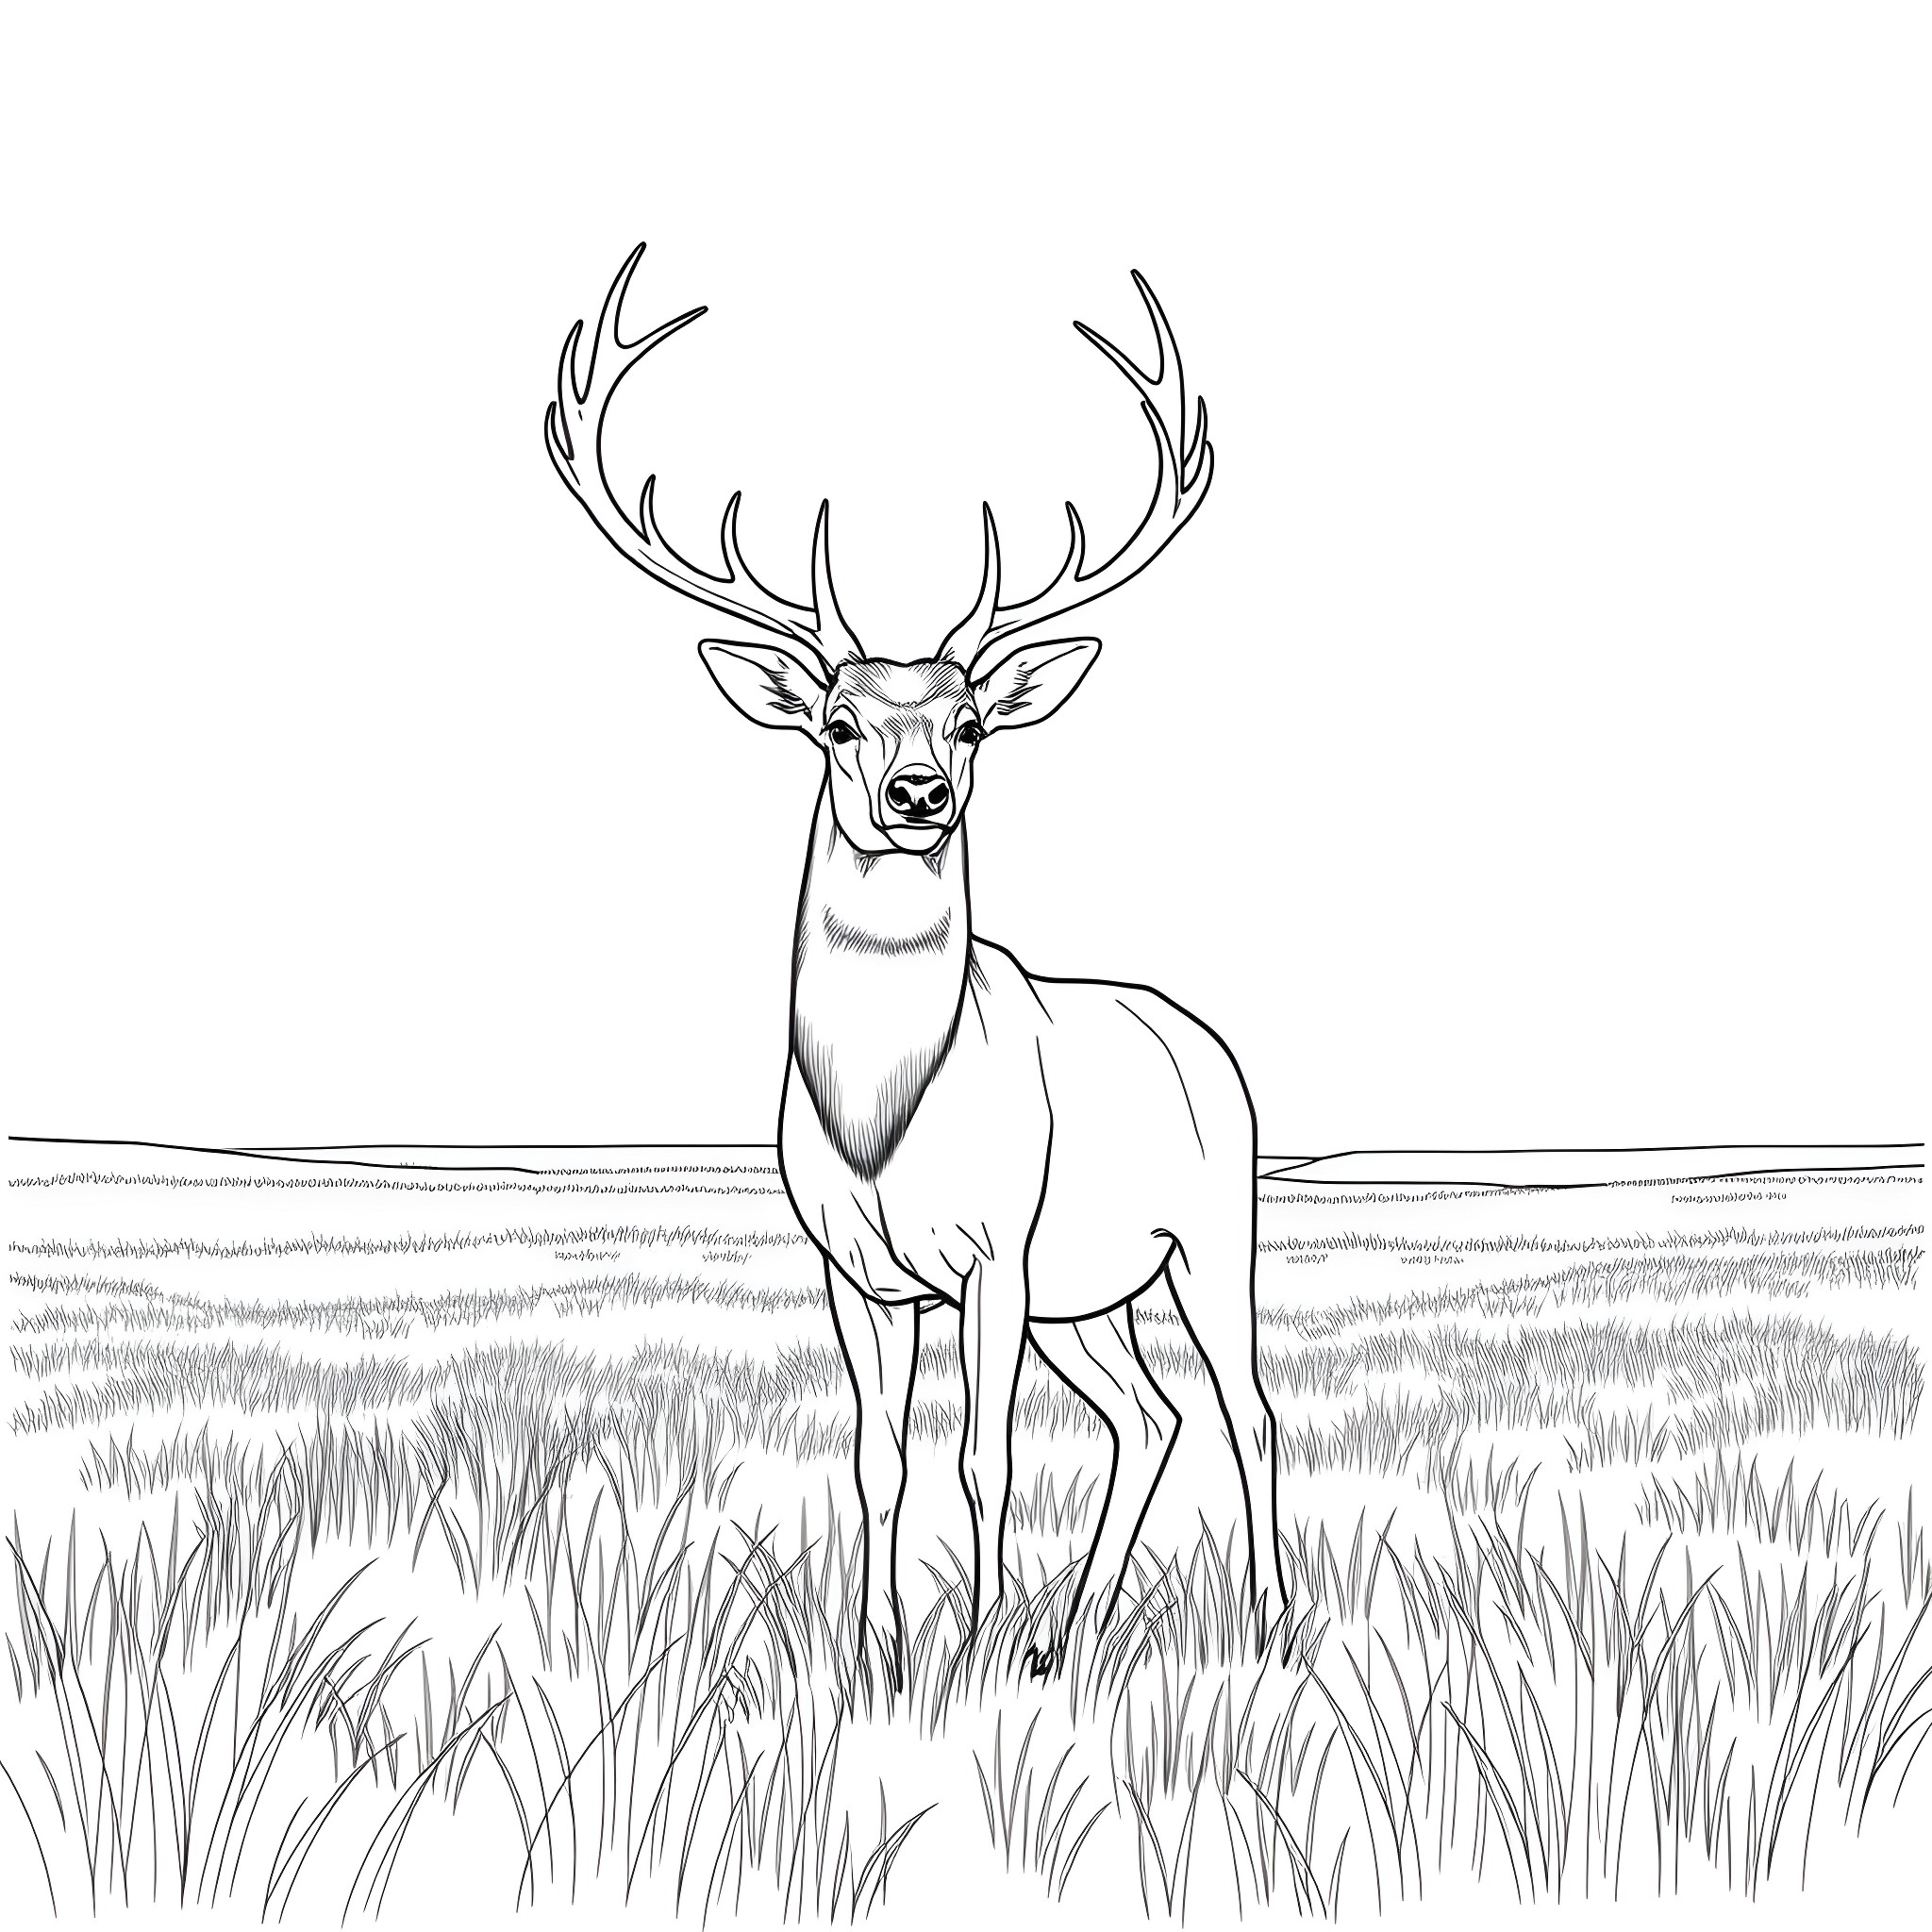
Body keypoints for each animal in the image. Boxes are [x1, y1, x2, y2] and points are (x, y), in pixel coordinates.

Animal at [546, 243, 1285, 1678]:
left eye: (974, 718)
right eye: (836, 720)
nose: (917, 791)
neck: (882, 1111)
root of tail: (1205, 1042)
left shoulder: (992, 1249)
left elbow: (982, 1459)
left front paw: (975, 1649)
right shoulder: (857, 1268)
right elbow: (877, 1459)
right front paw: (881, 1652)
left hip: (1207, 1234)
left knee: (1246, 1408)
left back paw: (1264, 1625)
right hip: (1084, 1295)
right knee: (1147, 1415)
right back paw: (1072, 1635)